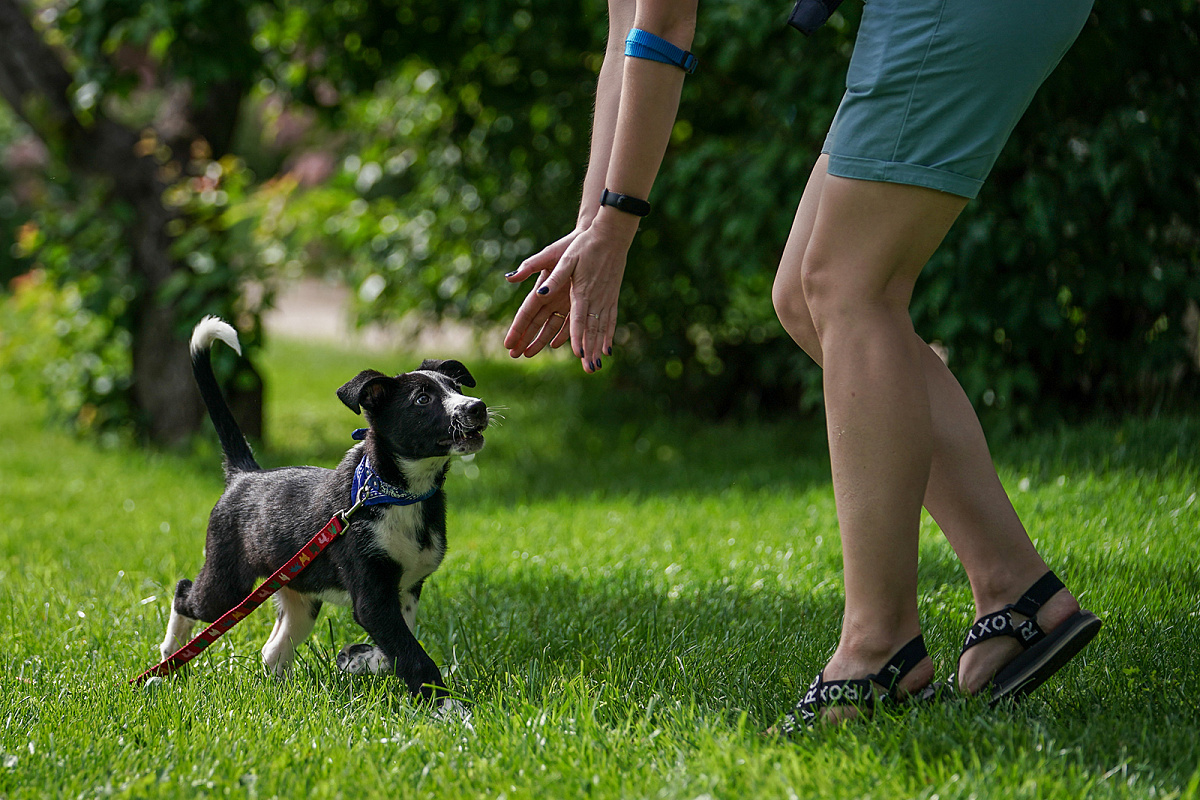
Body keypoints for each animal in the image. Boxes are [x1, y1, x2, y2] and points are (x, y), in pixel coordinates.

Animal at [159, 316, 487, 695]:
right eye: (422, 399)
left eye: (456, 387)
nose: (477, 407)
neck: (394, 493)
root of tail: (245, 475)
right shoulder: (372, 598)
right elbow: (413, 655)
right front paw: (445, 704)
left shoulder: (406, 589)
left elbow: (397, 648)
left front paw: (358, 659)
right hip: (226, 585)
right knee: (184, 593)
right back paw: (169, 658)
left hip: (299, 593)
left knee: (273, 649)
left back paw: (282, 692)